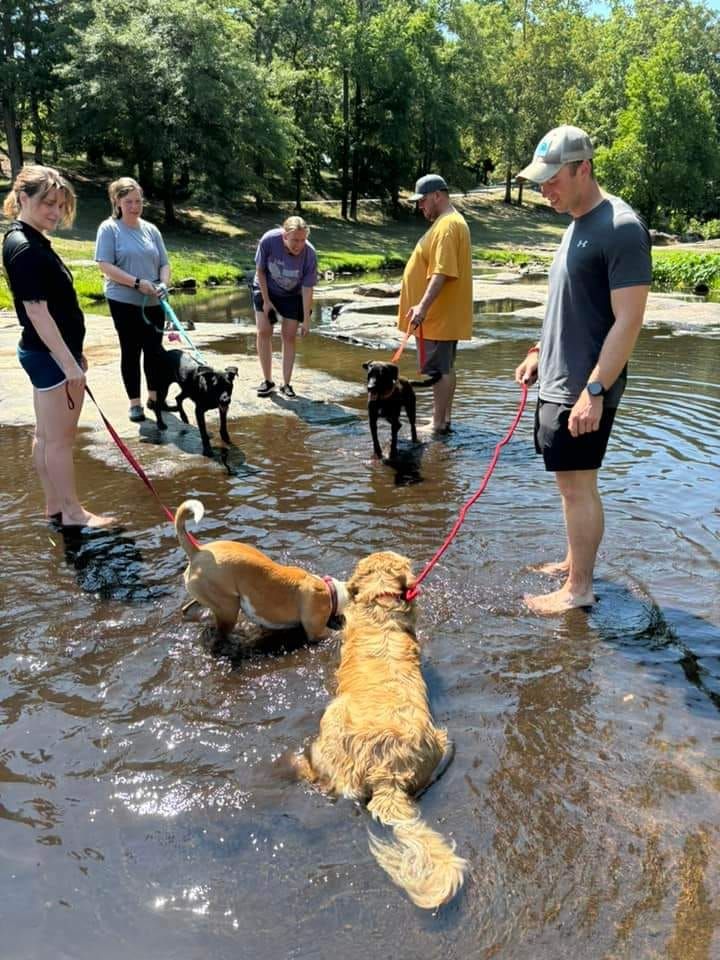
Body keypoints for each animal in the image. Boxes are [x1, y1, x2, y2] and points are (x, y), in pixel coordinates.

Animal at [174, 498, 348, 640]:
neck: (330, 590)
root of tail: (197, 550)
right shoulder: (316, 633)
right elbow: (333, 634)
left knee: (187, 610)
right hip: (228, 607)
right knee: (222, 632)